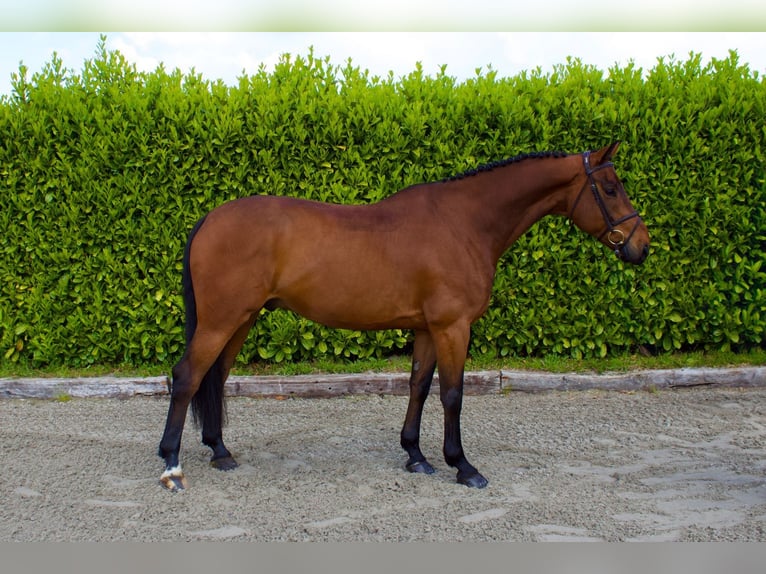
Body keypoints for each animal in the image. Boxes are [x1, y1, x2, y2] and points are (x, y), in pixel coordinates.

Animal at [158, 141, 649, 491]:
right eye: (610, 188)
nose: (641, 246)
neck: (464, 223)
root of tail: (210, 218)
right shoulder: (454, 327)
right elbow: (452, 394)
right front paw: (463, 466)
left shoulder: (427, 329)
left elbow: (418, 386)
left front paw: (416, 456)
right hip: (222, 320)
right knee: (186, 377)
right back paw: (172, 466)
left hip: (240, 320)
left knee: (215, 377)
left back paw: (220, 452)